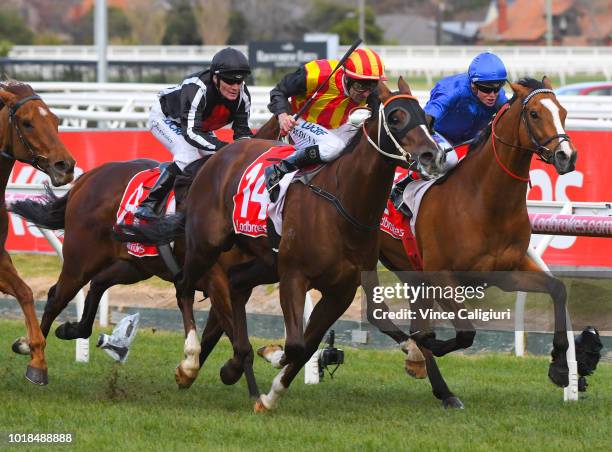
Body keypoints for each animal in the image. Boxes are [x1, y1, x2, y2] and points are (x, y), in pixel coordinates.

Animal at [117, 79, 444, 412]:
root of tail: (218, 157)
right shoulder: (293, 276)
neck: (343, 203)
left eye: (429, 120)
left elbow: (314, 342)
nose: (431, 155)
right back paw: (189, 363)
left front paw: (269, 395)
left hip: (260, 261)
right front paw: (270, 361)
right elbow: (297, 344)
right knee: (183, 286)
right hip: (207, 245)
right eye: (395, 117)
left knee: (234, 285)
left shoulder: (342, 289)